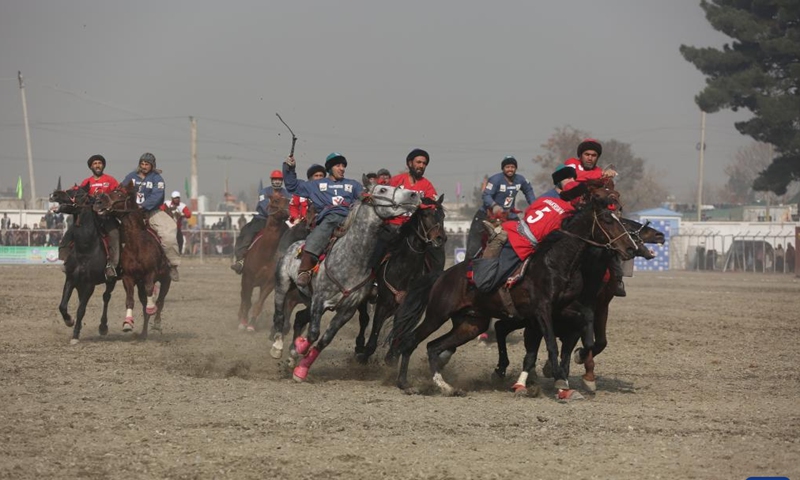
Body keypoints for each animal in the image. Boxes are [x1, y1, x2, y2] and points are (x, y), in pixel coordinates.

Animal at [49, 184, 116, 344]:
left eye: (77, 193)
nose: (54, 194)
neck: (85, 249)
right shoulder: (71, 279)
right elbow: (63, 306)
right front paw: (70, 321)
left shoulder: (89, 284)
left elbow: (81, 310)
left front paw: (75, 335)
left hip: (111, 280)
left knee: (106, 297)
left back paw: (103, 327)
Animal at [94, 186, 171, 340]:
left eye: (119, 194)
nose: (98, 202)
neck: (137, 245)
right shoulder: (128, 277)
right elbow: (130, 299)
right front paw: (127, 323)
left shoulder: (150, 274)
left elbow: (151, 291)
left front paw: (151, 308)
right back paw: (143, 333)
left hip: (166, 279)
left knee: (161, 300)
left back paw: (156, 323)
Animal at [238, 191, 290, 330]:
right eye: (276, 200)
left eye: (288, 200)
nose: (288, 209)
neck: (264, 254)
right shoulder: (248, 279)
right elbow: (247, 302)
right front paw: (243, 323)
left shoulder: (269, 284)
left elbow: (258, 304)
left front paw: (251, 325)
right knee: (244, 298)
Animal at [268, 185, 422, 382]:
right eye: (382, 189)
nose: (414, 195)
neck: (351, 260)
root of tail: (294, 246)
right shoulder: (319, 301)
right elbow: (313, 333)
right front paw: (298, 349)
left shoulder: (347, 310)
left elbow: (324, 340)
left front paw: (300, 367)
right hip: (282, 285)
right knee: (280, 315)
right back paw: (277, 347)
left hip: (307, 298)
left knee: (300, 317)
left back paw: (291, 354)